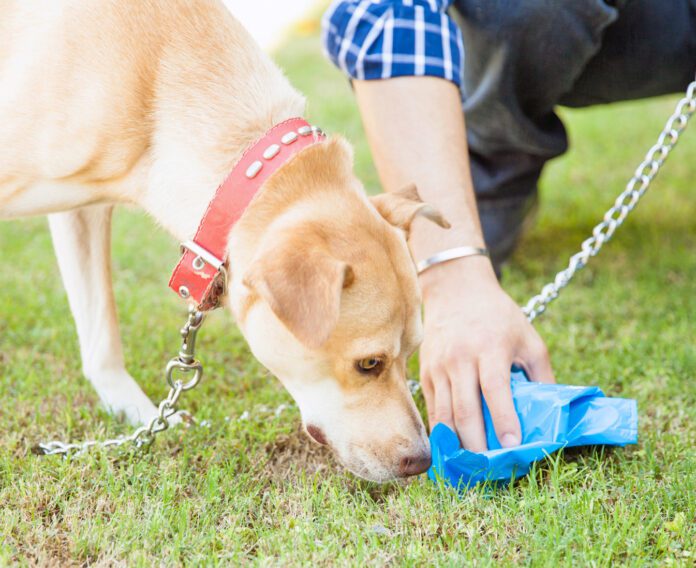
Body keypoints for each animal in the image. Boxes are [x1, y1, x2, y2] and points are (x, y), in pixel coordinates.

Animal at [0, 0, 448, 482]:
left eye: (413, 352)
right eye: (369, 364)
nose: (421, 461)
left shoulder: (85, 209)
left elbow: (101, 328)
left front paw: (138, 414)